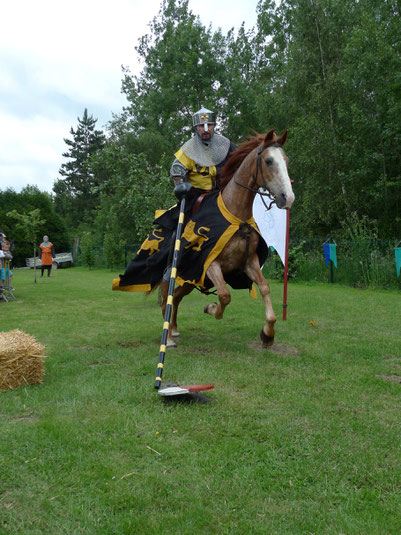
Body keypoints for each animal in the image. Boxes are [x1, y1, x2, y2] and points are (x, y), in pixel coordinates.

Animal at [159, 129, 294, 348]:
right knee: (166, 299)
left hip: (189, 280)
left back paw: (174, 329)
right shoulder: (210, 263)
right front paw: (211, 308)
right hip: (175, 270)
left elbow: (264, 288)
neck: (236, 213)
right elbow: (224, 295)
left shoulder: (249, 262)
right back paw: (168, 337)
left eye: (286, 161)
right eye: (268, 161)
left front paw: (268, 333)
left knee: (177, 297)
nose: (288, 198)